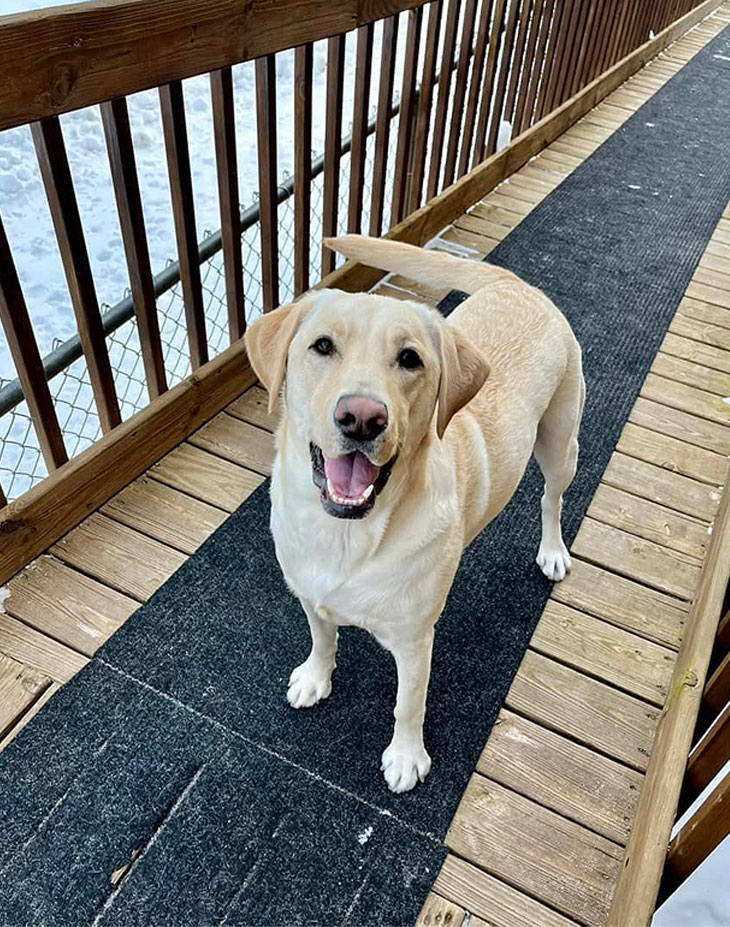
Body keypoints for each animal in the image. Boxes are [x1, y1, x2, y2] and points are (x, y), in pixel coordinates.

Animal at [245, 236, 584, 792]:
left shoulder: (414, 641)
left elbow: (409, 704)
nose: (362, 418)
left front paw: (406, 757)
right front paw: (315, 677)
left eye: (409, 359)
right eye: (322, 347)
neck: (346, 537)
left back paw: (552, 550)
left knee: (551, 499)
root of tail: (519, 285)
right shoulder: (310, 594)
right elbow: (322, 637)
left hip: (560, 444)